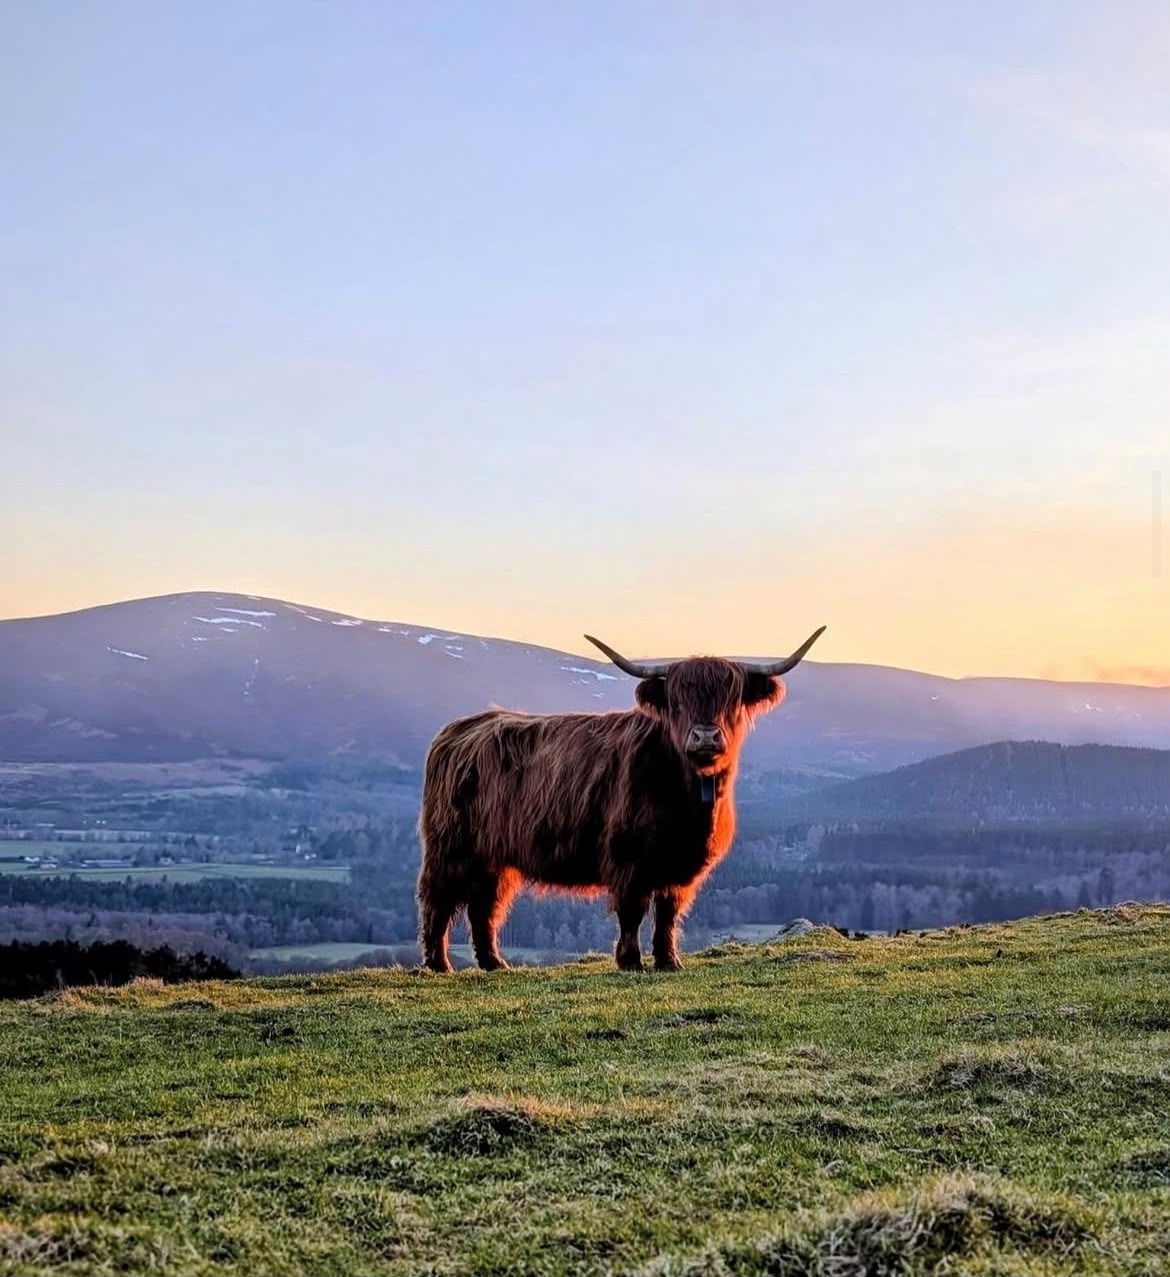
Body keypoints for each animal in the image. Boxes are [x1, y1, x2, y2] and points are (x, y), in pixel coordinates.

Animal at [416, 626, 825, 973]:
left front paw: (669, 960)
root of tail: (458, 729)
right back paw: (439, 963)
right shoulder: (629, 857)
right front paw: (630, 961)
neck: (687, 801)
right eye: (677, 701)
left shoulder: (681, 867)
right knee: (438, 900)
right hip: (450, 847)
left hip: (494, 855)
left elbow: (668, 913)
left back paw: (494, 962)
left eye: (731, 699)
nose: (705, 737)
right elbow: (634, 909)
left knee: (485, 904)